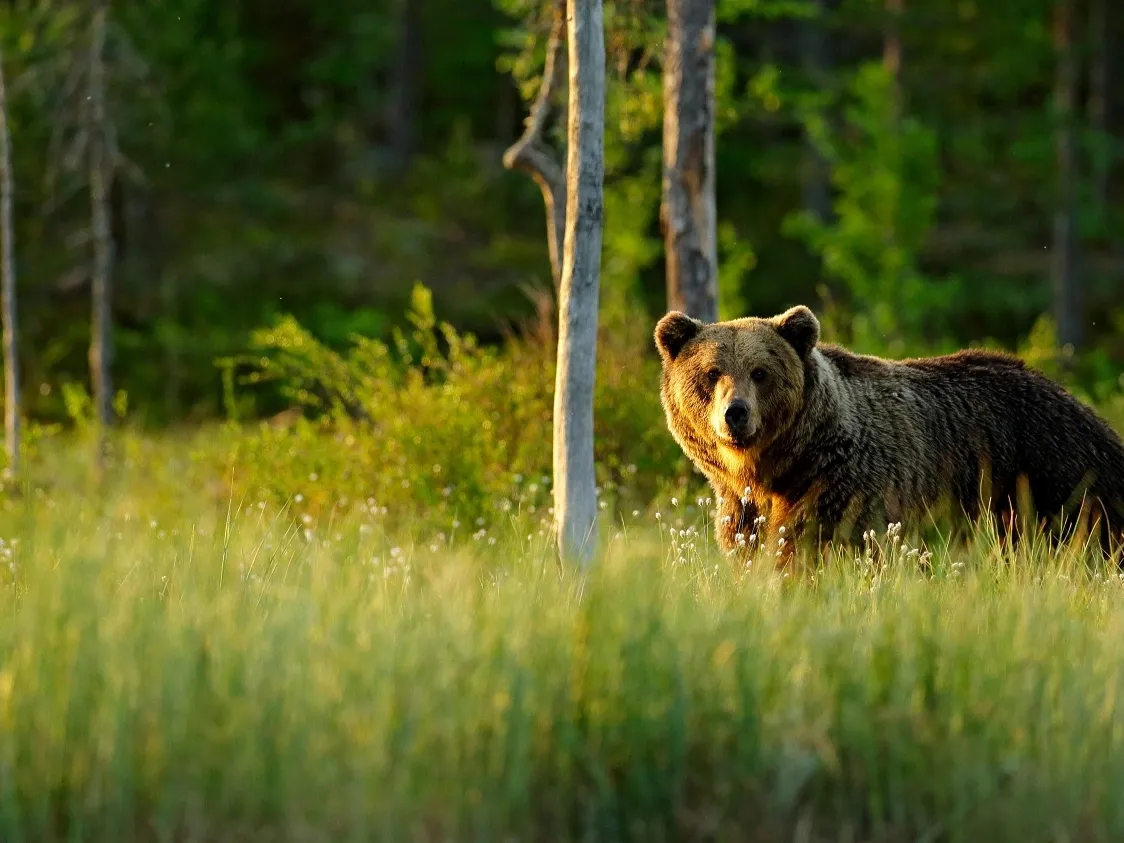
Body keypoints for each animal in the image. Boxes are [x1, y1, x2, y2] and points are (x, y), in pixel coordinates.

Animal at [651, 303, 1124, 562]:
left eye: (760, 372)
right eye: (712, 373)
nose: (736, 414)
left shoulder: (844, 485)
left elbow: (815, 546)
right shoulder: (742, 507)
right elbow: (750, 548)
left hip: (1051, 471)